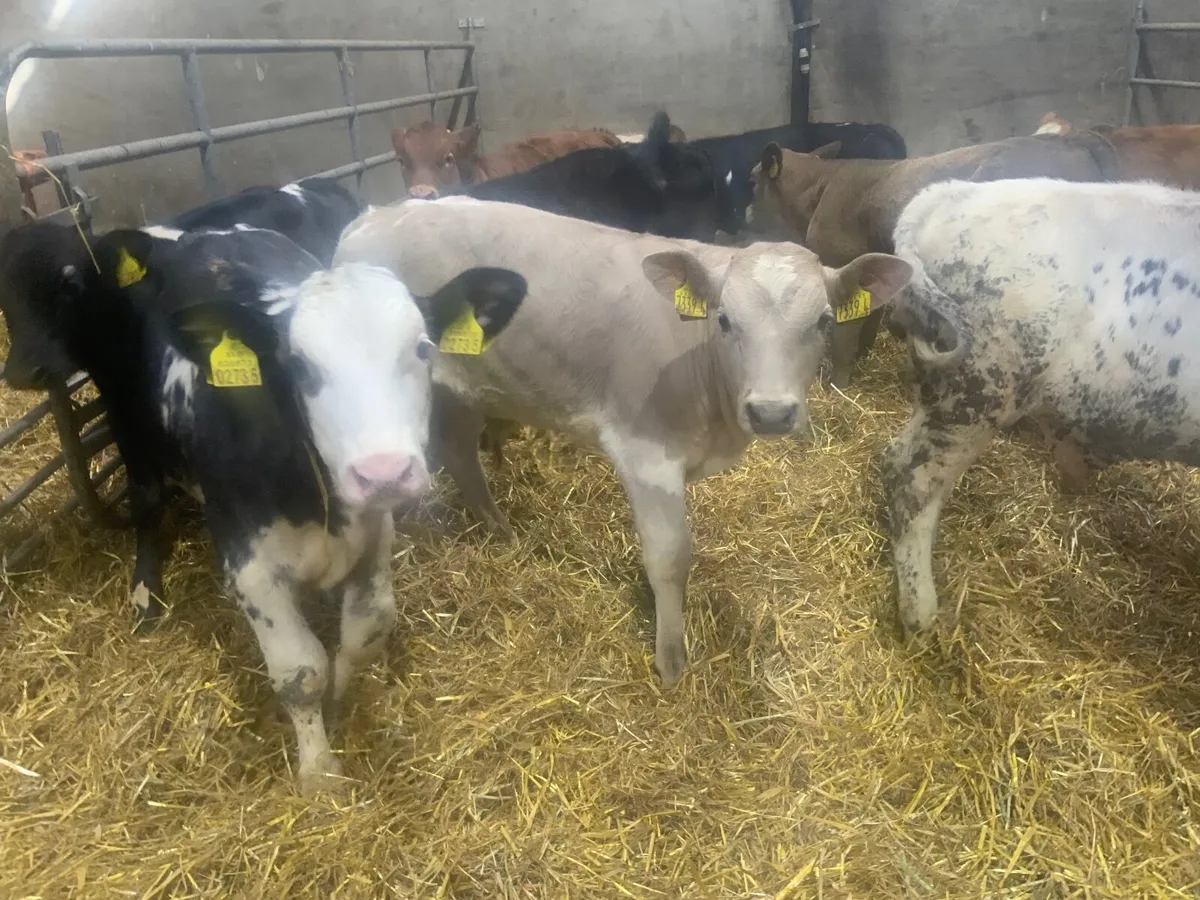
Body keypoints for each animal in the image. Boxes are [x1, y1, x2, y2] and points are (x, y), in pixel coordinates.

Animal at [0, 220, 527, 793]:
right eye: (297, 365)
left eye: (425, 350)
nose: (384, 472)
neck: (314, 498)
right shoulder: (250, 568)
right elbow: (300, 673)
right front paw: (319, 770)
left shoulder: (374, 535)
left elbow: (364, 635)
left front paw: (341, 693)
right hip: (129, 424)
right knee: (146, 500)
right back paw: (146, 591)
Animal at [334, 197, 912, 687]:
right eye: (725, 320)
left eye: (823, 321)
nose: (771, 411)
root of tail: (374, 216)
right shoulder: (646, 454)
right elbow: (670, 559)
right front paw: (671, 662)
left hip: (466, 386)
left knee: (457, 449)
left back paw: (501, 530)